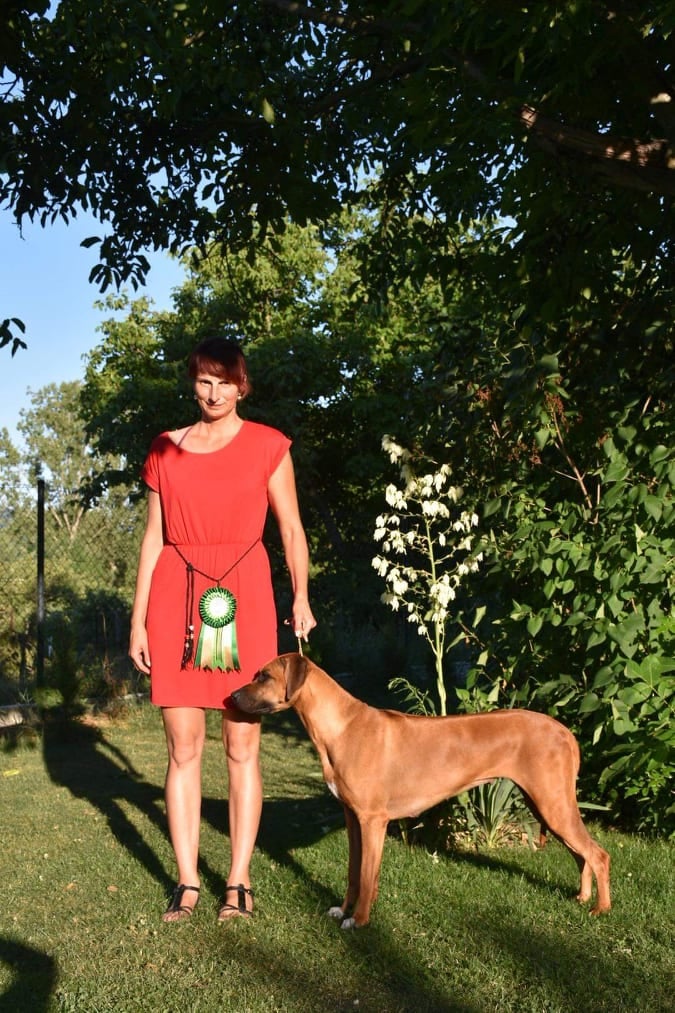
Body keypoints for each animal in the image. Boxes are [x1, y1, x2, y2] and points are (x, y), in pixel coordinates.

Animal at [232, 653, 611, 928]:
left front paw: (360, 920)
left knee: (598, 854)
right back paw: (581, 898)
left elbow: (367, 876)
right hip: (545, 803)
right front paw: (343, 909)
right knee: (581, 854)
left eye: (264, 676)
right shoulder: (353, 818)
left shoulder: (373, 820)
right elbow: (354, 873)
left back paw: (601, 909)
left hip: (552, 803)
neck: (341, 726)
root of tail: (565, 731)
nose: (231, 695)